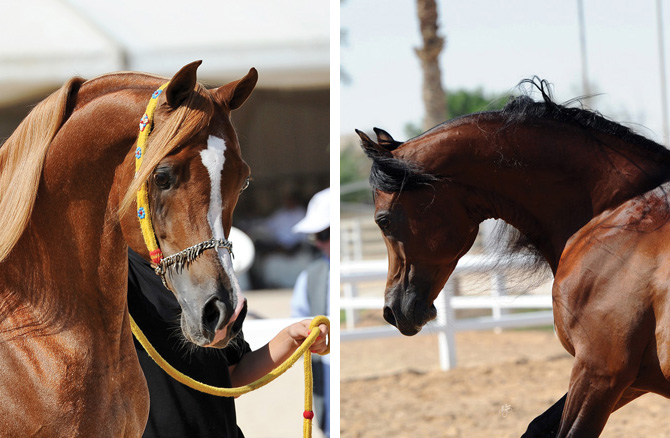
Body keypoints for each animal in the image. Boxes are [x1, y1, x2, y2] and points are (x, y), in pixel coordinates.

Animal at [360, 79, 670, 438]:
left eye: (383, 220)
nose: (391, 311)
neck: (618, 218)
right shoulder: (630, 380)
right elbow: (536, 426)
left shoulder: (600, 372)